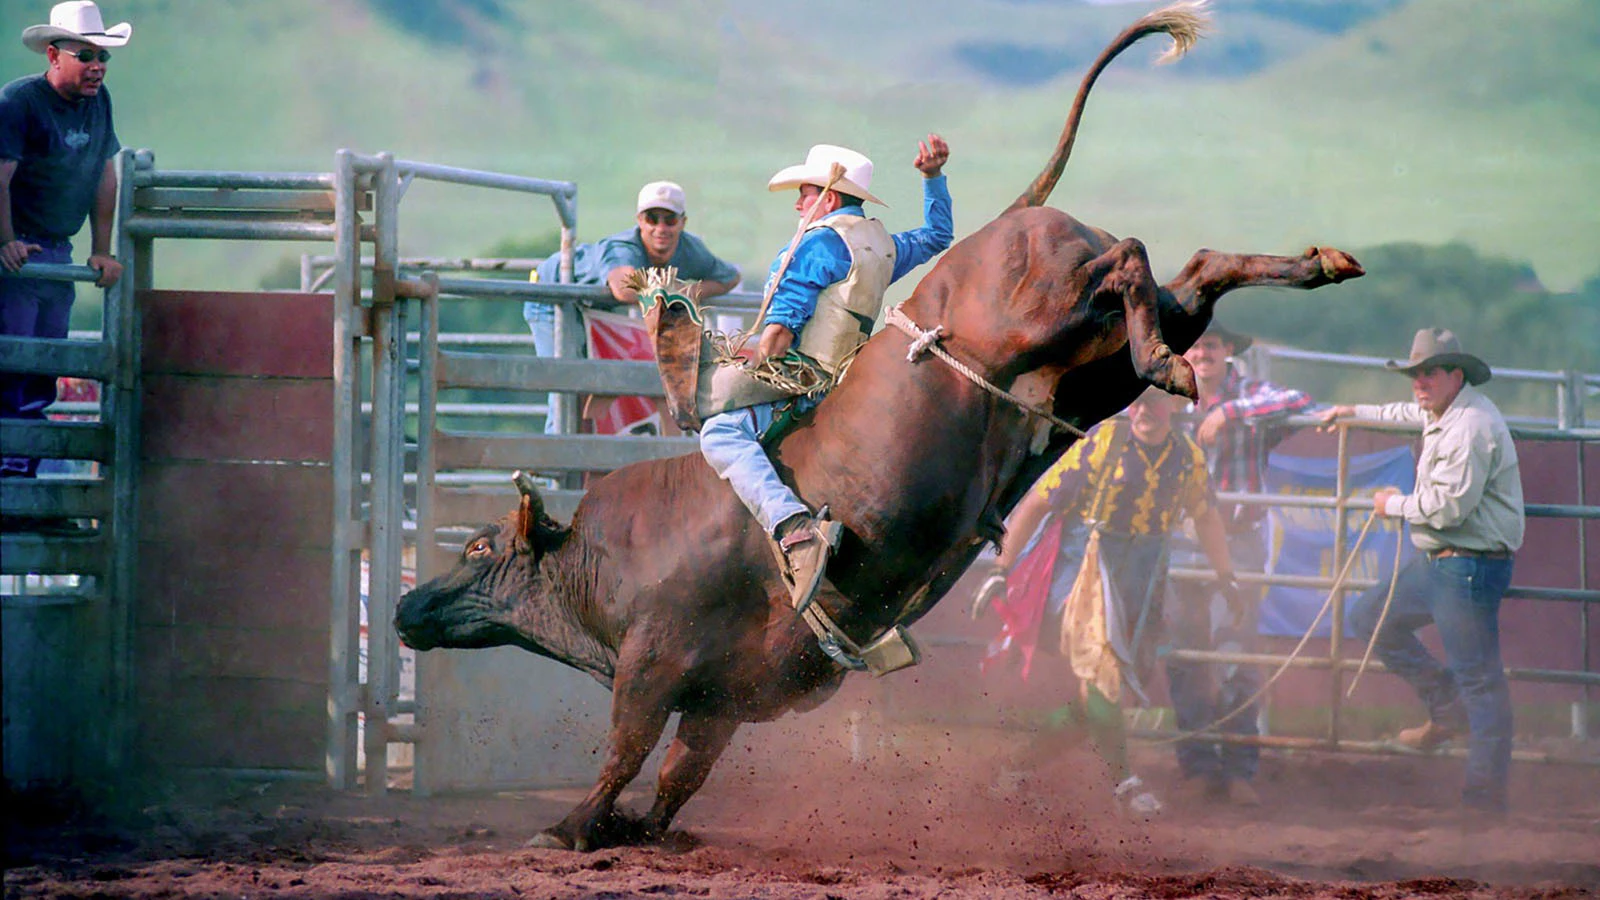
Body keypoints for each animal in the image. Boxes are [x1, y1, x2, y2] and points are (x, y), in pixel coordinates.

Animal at [396, 0, 1362, 851]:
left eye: (479, 546)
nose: (406, 603)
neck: (605, 550)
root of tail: (1011, 219)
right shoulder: (718, 701)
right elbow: (678, 774)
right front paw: (637, 830)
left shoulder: (651, 665)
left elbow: (625, 751)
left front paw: (568, 827)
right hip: (1094, 377)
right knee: (1191, 273)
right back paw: (1307, 269)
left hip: (1045, 317)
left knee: (1129, 255)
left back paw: (1175, 354)